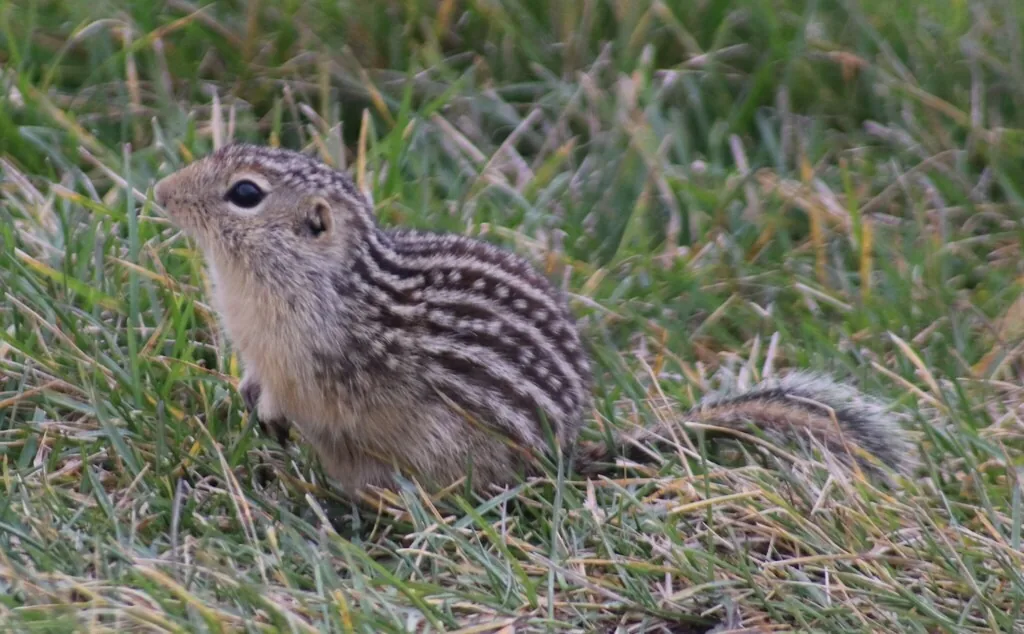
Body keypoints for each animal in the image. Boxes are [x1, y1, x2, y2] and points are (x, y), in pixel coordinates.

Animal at [153, 143, 915, 494]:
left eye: (244, 194)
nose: (161, 192)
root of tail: (570, 455)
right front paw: (253, 399)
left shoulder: (324, 356)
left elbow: (309, 391)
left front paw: (273, 408)